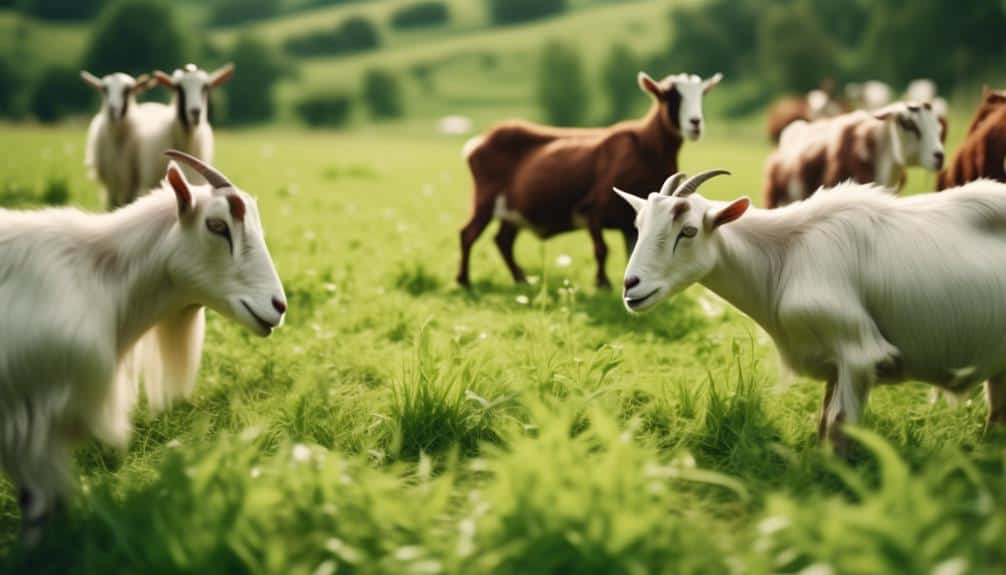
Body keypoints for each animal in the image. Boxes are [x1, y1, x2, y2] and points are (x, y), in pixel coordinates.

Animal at [81, 71, 156, 209]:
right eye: (104, 89)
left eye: (127, 90)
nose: (112, 109)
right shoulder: (111, 182)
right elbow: (111, 205)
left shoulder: (131, 182)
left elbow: (128, 202)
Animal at [457, 71, 722, 288]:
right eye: (669, 96)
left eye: (702, 94)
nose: (695, 124)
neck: (646, 147)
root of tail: (478, 142)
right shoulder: (593, 208)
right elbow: (601, 249)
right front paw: (602, 284)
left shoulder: (632, 220)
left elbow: (632, 251)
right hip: (485, 200)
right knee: (468, 234)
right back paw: (464, 280)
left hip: (513, 211)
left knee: (503, 241)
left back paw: (520, 279)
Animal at [617, 170, 1006, 453]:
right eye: (638, 227)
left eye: (689, 231)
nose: (631, 285)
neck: (784, 255)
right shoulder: (834, 362)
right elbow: (823, 421)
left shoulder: (860, 354)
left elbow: (839, 425)